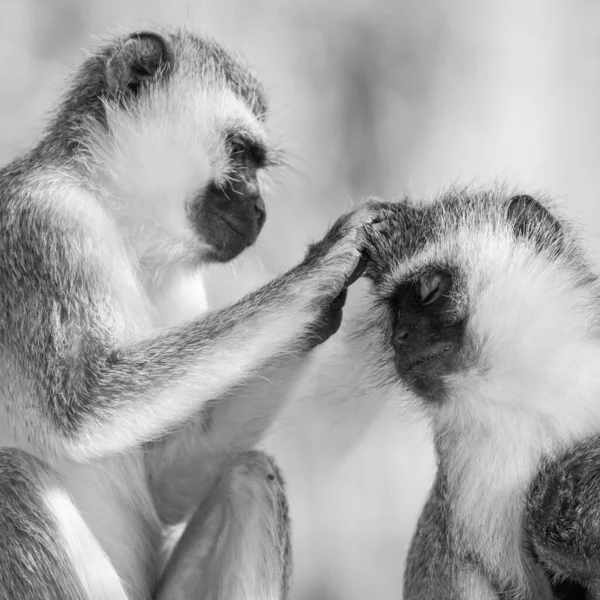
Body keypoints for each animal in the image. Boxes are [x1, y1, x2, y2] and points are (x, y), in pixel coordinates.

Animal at [0, 27, 376, 600]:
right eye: (240, 152)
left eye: (256, 162)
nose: (260, 210)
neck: (118, 222)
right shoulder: (42, 225)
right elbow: (84, 402)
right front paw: (322, 268)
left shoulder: (182, 288)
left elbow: (163, 482)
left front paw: (319, 313)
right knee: (12, 484)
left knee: (252, 478)